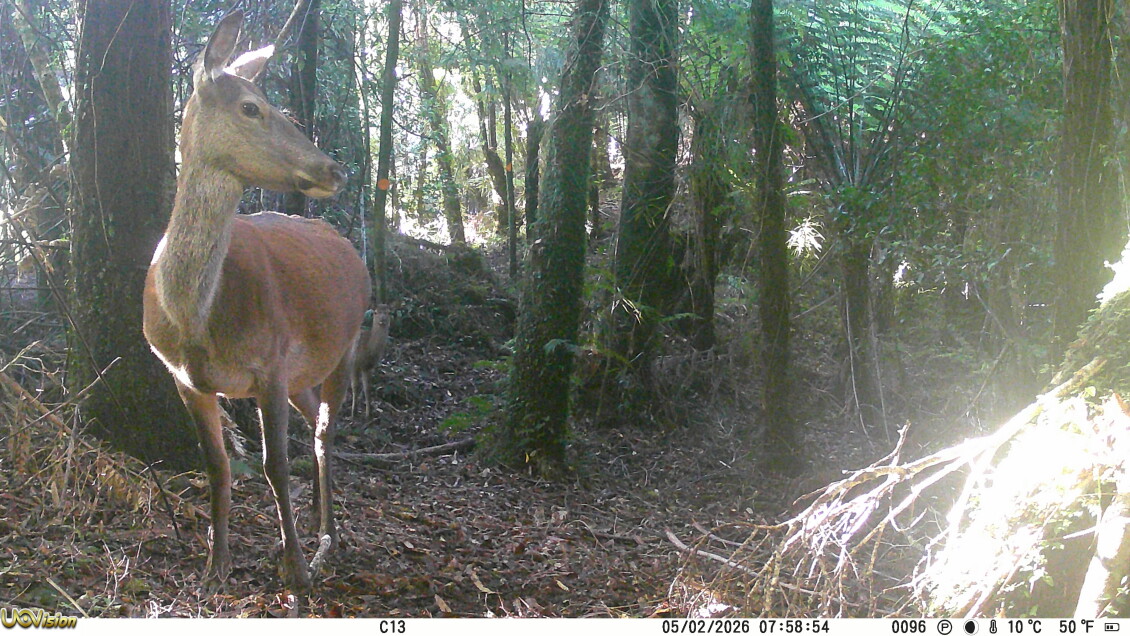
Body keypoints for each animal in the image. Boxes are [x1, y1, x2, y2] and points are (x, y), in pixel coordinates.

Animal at [142, 10, 370, 591]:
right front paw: (214, 565)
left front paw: (295, 570)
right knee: (313, 421)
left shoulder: (270, 362)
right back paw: (315, 521)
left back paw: (326, 538)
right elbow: (217, 464)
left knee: (324, 432)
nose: (335, 169)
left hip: (345, 345)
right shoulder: (181, 376)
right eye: (251, 107)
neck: (194, 321)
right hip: (303, 370)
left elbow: (274, 465)